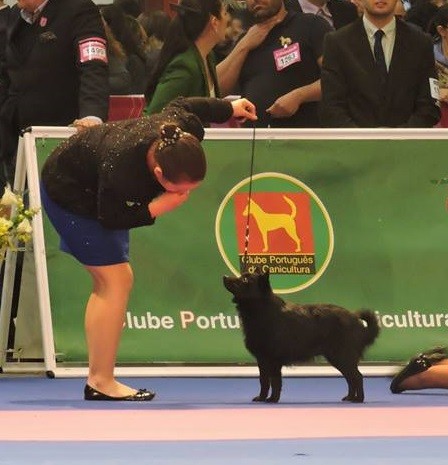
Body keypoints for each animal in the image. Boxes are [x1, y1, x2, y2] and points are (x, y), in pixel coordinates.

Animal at [222, 270, 380, 400]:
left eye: (245, 280)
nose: (224, 276)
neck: (263, 309)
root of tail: (357, 322)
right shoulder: (263, 360)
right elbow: (264, 381)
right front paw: (262, 398)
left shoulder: (273, 360)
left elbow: (275, 382)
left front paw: (272, 399)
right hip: (338, 359)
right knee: (351, 379)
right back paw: (350, 398)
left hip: (342, 357)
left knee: (357, 377)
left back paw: (358, 399)